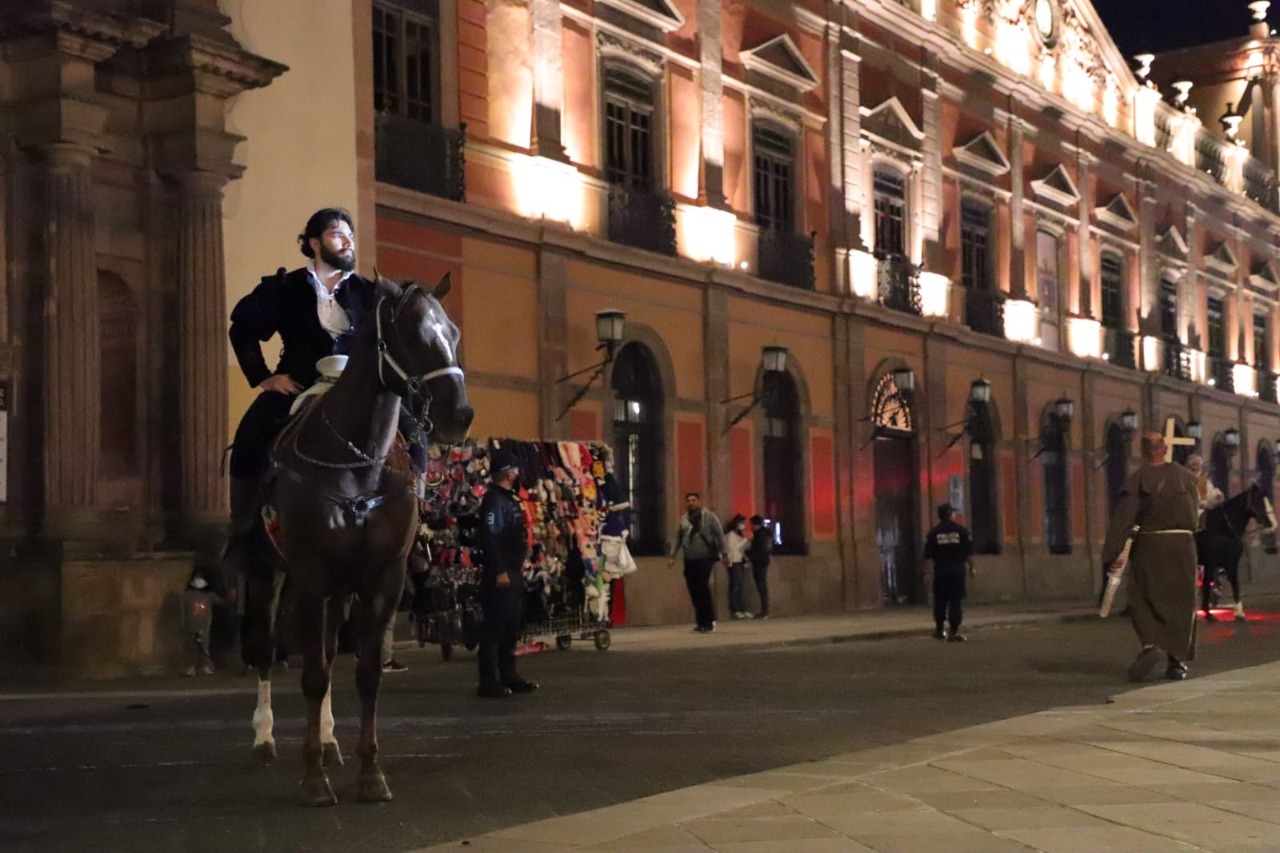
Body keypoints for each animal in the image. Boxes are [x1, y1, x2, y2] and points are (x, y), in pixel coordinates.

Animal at [240, 268, 471, 799]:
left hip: (337, 589)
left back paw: (328, 741)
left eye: (453, 334)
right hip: (267, 570)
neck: (357, 459)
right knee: (265, 647)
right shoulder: (309, 576)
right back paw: (265, 739)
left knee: (326, 651)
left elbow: (364, 674)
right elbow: (311, 675)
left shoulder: (382, 577)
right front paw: (313, 780)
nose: (460, 415)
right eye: (415, 335)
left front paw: (370, 772)